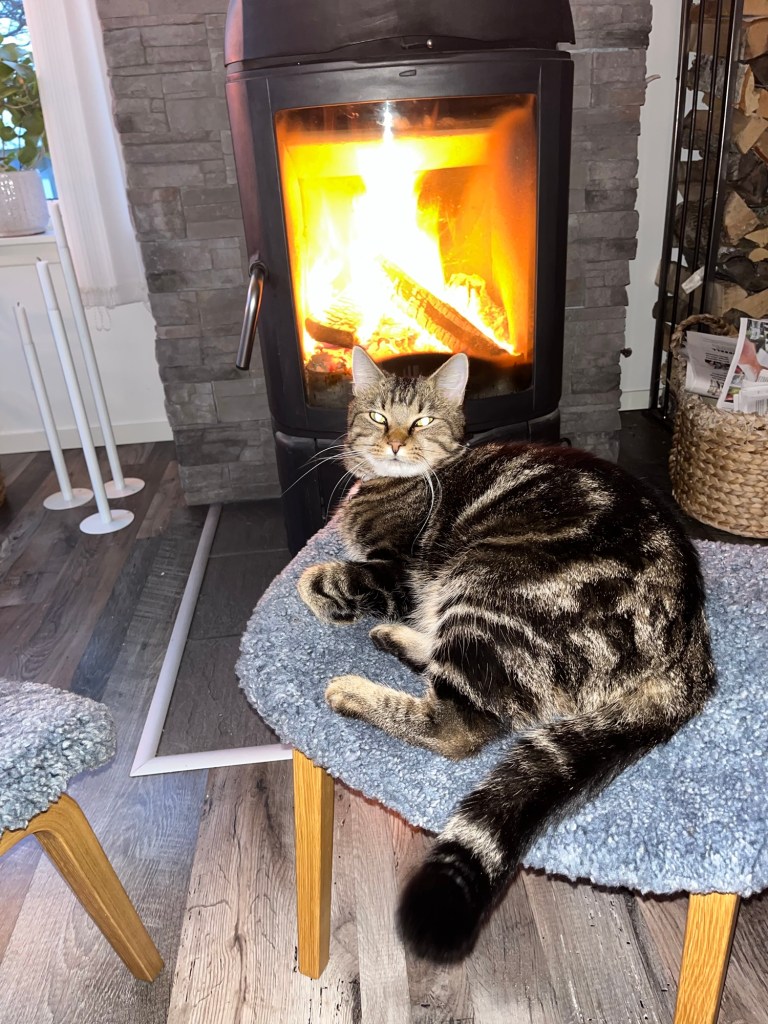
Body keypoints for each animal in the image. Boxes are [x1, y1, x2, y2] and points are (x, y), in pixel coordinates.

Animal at [297, 346, 716, 964]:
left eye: (420, 421)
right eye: (377, 417)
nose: (394, 443)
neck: (398, 484)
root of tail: (690, 645)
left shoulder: (397, 570)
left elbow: (317, 578)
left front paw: (330, 600)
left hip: (484, 585)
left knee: (459, 723)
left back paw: (353, 689)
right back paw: (395, 640)